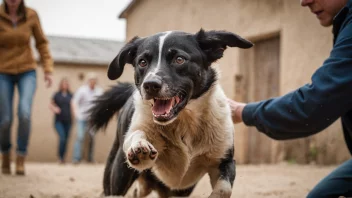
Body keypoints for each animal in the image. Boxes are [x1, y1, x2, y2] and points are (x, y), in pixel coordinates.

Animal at [89, 28, 252, 197]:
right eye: (142, 62)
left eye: (179, 59)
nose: (150, 85)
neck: (184, 121)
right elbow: (136, 134)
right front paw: (139, 147)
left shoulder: (224, 160)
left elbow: (224, 189)